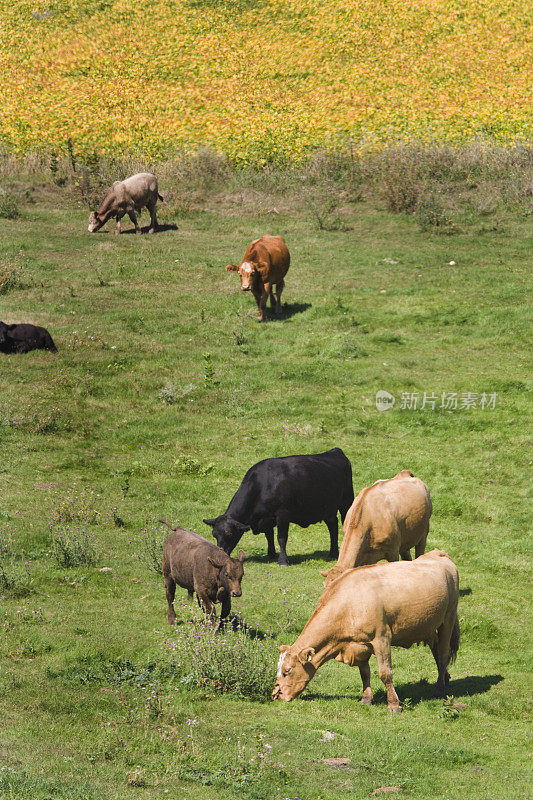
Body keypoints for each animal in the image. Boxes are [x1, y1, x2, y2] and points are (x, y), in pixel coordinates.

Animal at [203, 446, 354, 564]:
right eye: (214, 534)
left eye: (229, 534)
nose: (220, 554)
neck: (263, 485)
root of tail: (335, 451)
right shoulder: (266, 518)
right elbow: (269, 536)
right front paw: (271, 554)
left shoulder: (283, 514)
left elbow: (281, 537)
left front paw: (282, 560)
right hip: (328, 508)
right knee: (332, 526)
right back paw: (333, 553)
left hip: (346, 502)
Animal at [272, 548, 460, 708]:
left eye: (287, 671)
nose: (276, 695)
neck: (348, 603)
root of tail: (439, 553)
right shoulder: (359, 645)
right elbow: (365, 673)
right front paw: (366, 699)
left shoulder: (382, 638)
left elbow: (385, 673)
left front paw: (393, 704)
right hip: (429, 626)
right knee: (436, 651)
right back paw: (445, 678)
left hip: (448, 619)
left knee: (443, 654)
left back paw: (439, 689)